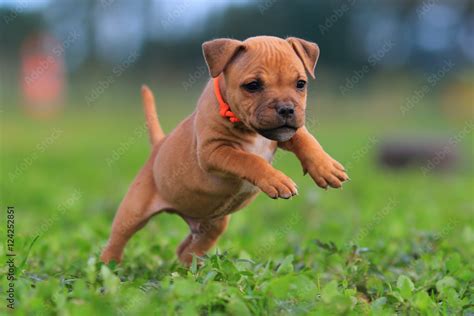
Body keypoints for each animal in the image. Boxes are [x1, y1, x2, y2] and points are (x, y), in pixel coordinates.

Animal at [101, 35, 348, 266]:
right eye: (253, 85)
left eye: (300, 84)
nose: (287, 109)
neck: (248, 127)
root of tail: (159, 146)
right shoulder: (213, 151)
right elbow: (247, 159)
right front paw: (277, 180)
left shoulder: (284, 133)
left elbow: (305, 139)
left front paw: (325, 168)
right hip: (133, 211)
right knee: (116, 240)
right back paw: (110, 267)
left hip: (214, 223)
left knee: (186, 249)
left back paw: (192, 270)